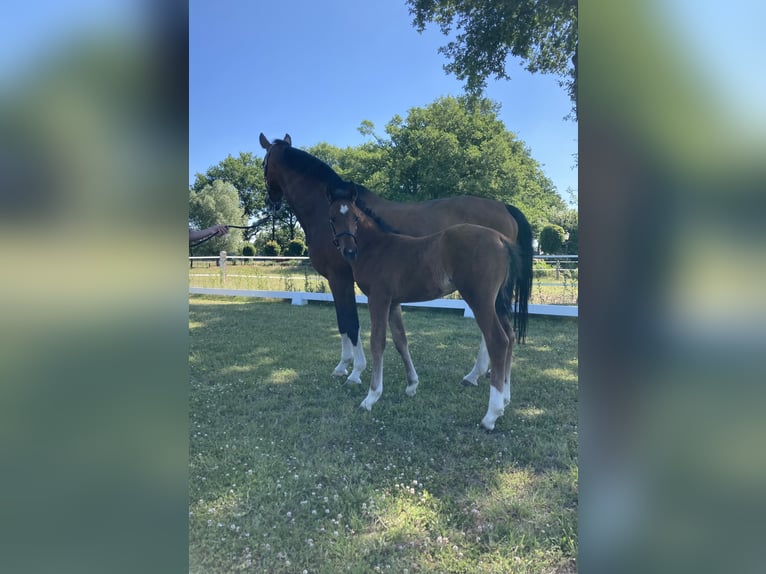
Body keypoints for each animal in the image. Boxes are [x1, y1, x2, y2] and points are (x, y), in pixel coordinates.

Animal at [260, 133, 532, 390]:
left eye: (264, 163)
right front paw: (343, 367)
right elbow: (343, 322)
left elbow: (350, 322)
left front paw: (354, 371)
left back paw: (476, 374)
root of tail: (505, 208)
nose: (271, 202)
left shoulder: (340, 278)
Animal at [328, 186, 524, 432]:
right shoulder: (394, 303)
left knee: (498, 340)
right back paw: (505, 399)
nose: (349, 251)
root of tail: (500, 239)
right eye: (332, 219)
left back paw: (491, 415)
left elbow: (377, 342)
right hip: (498, 302)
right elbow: (401, 341)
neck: (378, 248)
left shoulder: (378, 299)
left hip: (481, 299)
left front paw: (371, 397)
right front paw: (412, 385)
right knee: (510, 336)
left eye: (355, 217)